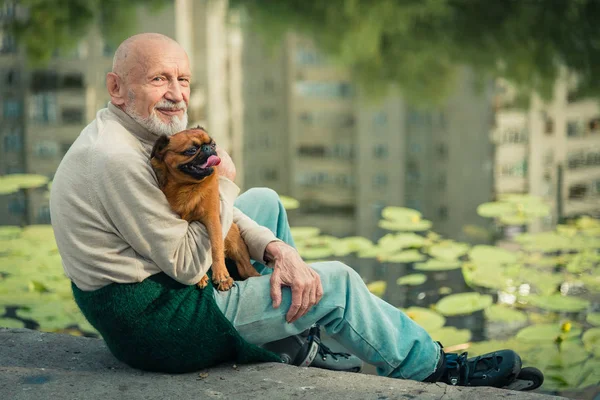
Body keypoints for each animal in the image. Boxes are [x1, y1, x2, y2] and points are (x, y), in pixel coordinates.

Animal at [149, 128, 258, 290]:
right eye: (191, 150)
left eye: (213, 144)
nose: (208, 148)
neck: (188, 186)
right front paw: (201, 278)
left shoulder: (212, 219)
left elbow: (216, 247)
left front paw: (222, 276)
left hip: (234, 242)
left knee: (246, 269)